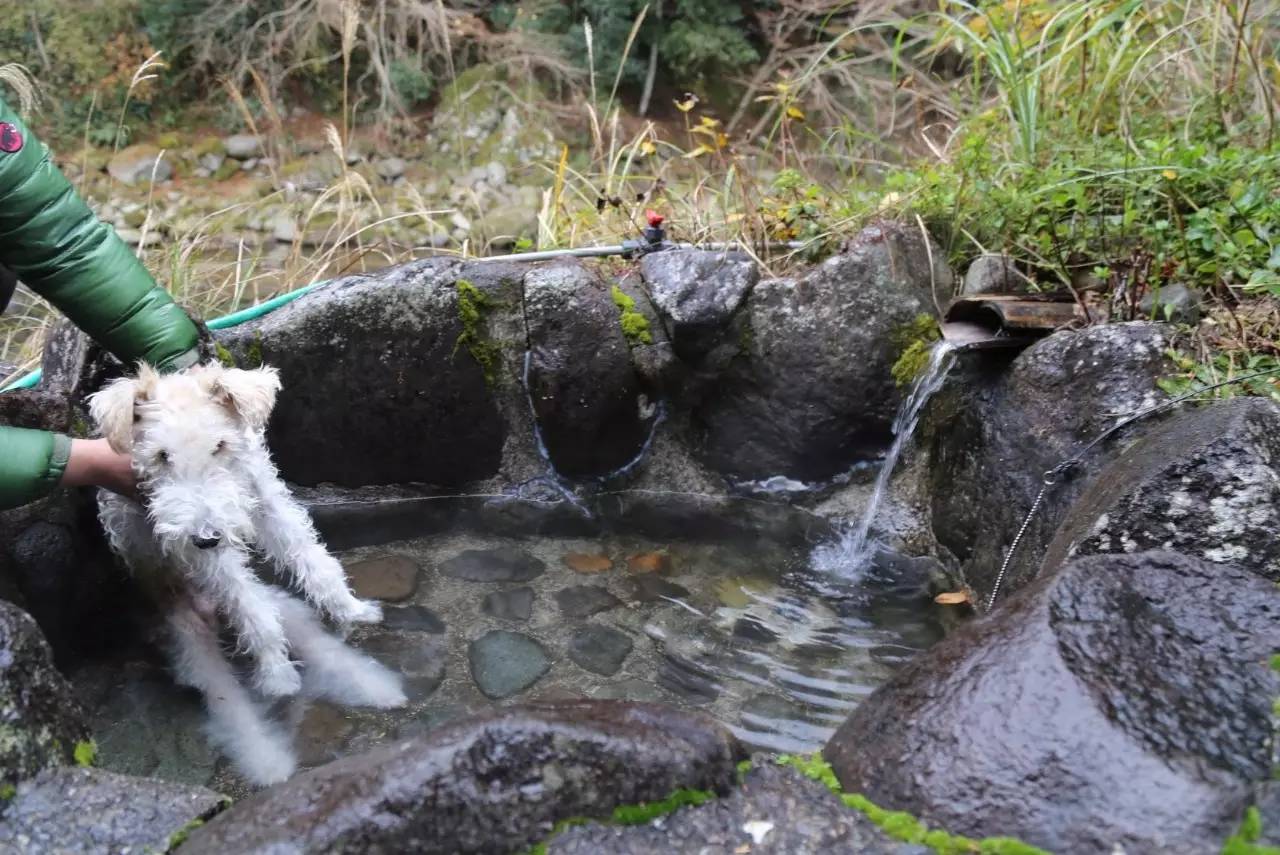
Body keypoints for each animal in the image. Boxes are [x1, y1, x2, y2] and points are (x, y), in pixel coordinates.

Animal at [88, 360, 404, 783]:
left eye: (220, 445)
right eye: (161, 455)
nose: (206, 536)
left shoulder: (266, 499)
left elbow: (313, 559)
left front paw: (350, 608)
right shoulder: (202, 554)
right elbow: (250, 608)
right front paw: (275, 673)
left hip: (290, 612)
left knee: (322, 648)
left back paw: (380, 688)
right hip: (194, 645)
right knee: (233, 703)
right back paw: (272, 749)